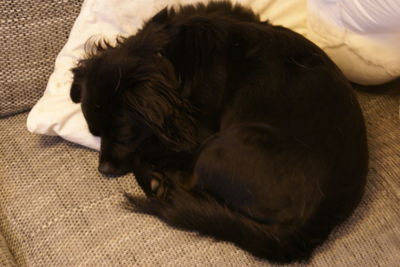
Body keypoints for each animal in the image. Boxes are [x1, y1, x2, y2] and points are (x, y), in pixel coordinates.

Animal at [69, 1, 368, 266]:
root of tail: (317, 221)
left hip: (221, 147)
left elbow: (147, 148)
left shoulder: (196, 135)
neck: (168, 57)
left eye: (124, 135)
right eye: (94, 132)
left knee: (191, 182)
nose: (103, 170)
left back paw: (160, 183)